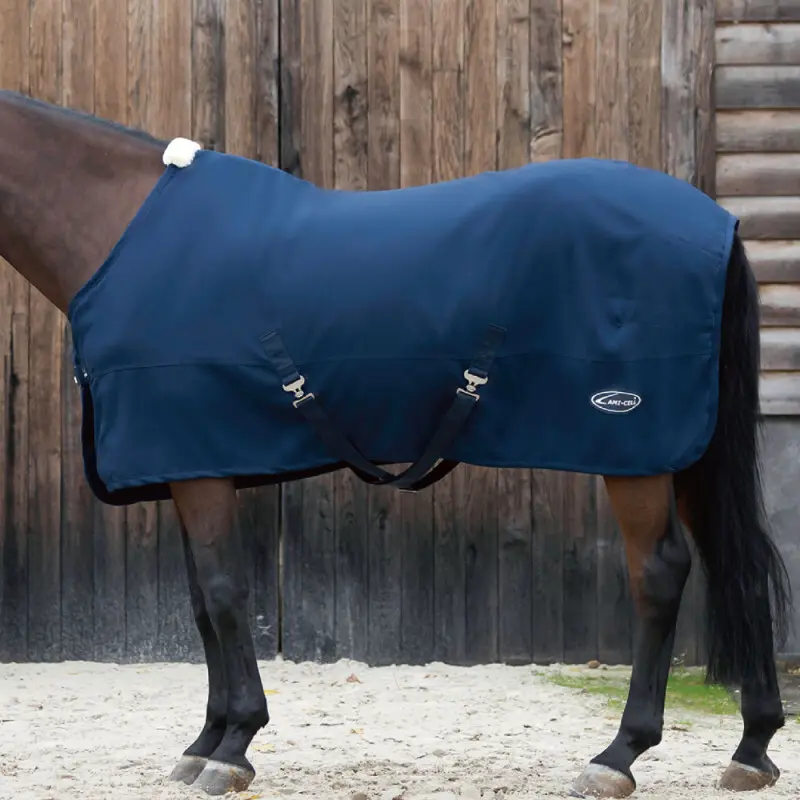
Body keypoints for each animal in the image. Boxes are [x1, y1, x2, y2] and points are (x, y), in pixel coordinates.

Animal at [0, 89, 791, 799]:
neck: (123, 231)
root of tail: (718, 222)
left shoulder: (199, 469)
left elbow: (224, 595)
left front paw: (232, 747)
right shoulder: (190, 466)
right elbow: (201, 604)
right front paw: (204, 743)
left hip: (637, 451)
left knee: (659, 573)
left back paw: (618, 755)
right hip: (687, 452)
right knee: (736, 561)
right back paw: (752, 748)